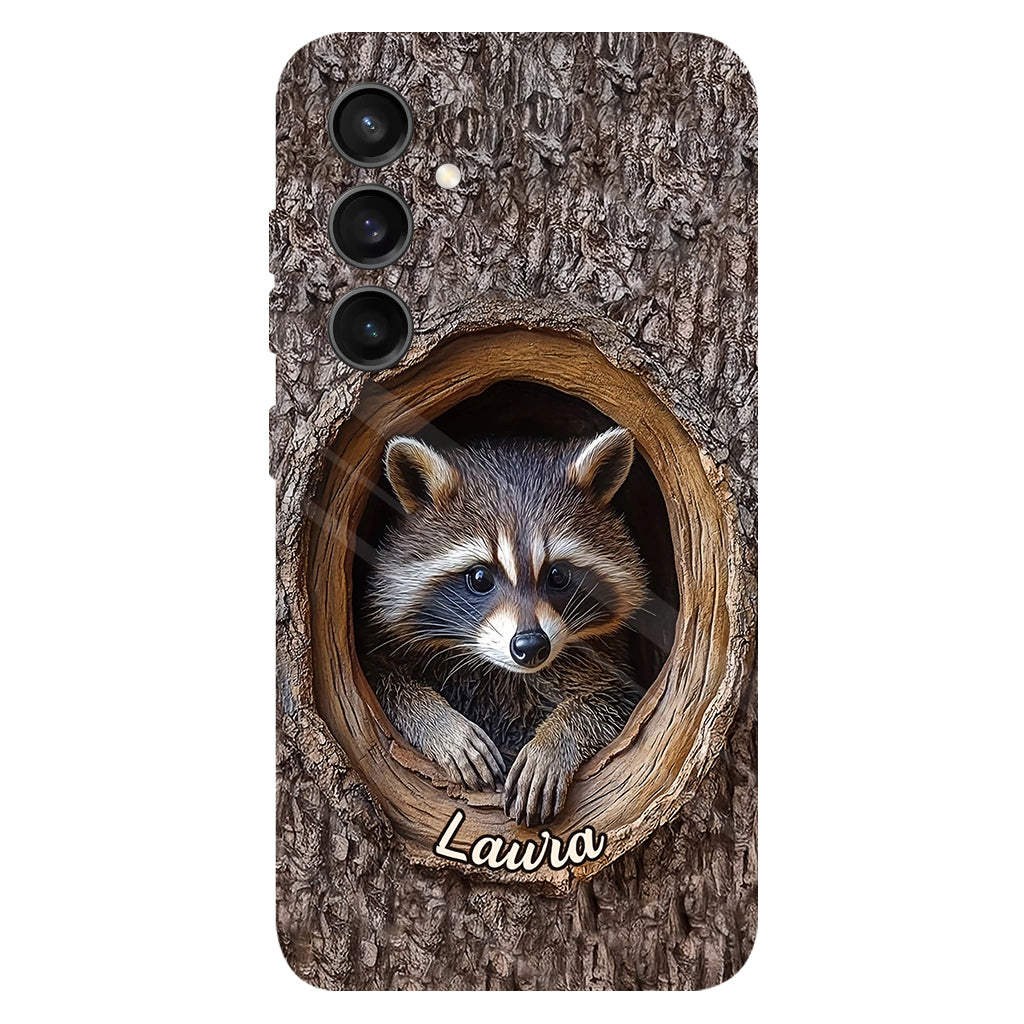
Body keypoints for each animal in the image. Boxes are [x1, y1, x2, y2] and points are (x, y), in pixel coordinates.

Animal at [364, 426, 648, 826]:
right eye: (480, 577)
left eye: (557, 575)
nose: (530, 646)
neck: (506, 673)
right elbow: (384, 681)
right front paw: (441, 724)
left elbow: (613, 701)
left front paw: (554, 740)